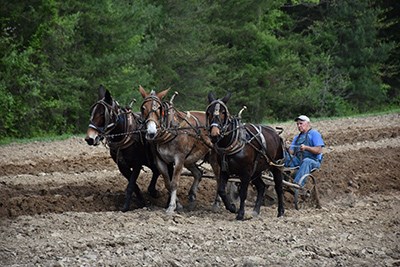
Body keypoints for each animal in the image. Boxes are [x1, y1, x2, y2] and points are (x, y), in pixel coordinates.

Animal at [137, 87, 219, 215]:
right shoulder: (160, 161)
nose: (151, 132)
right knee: (198, 173)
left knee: (220, 177)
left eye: (159, 108)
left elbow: (174, 183)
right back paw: (192, 198)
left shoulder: (179, 158)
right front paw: (178, 205)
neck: (171, 128)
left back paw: (216, 203)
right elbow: (168, 184)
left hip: (213, 157)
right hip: (190, 159)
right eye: (143, 108)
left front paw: (171, 207)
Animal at [206, 92, 284, 220]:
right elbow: (221, 190)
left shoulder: (246, 171)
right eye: (208, 112)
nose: (214, 134)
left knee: (279, 187)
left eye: (223, 112)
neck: (234, 141)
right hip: (256, 170)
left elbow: (243, 193)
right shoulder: (224, 170)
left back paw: (281, 211)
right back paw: (255, 211)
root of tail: (276, 134)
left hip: (276, 166)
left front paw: (240, 214)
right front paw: (232, 208)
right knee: (262, 187)